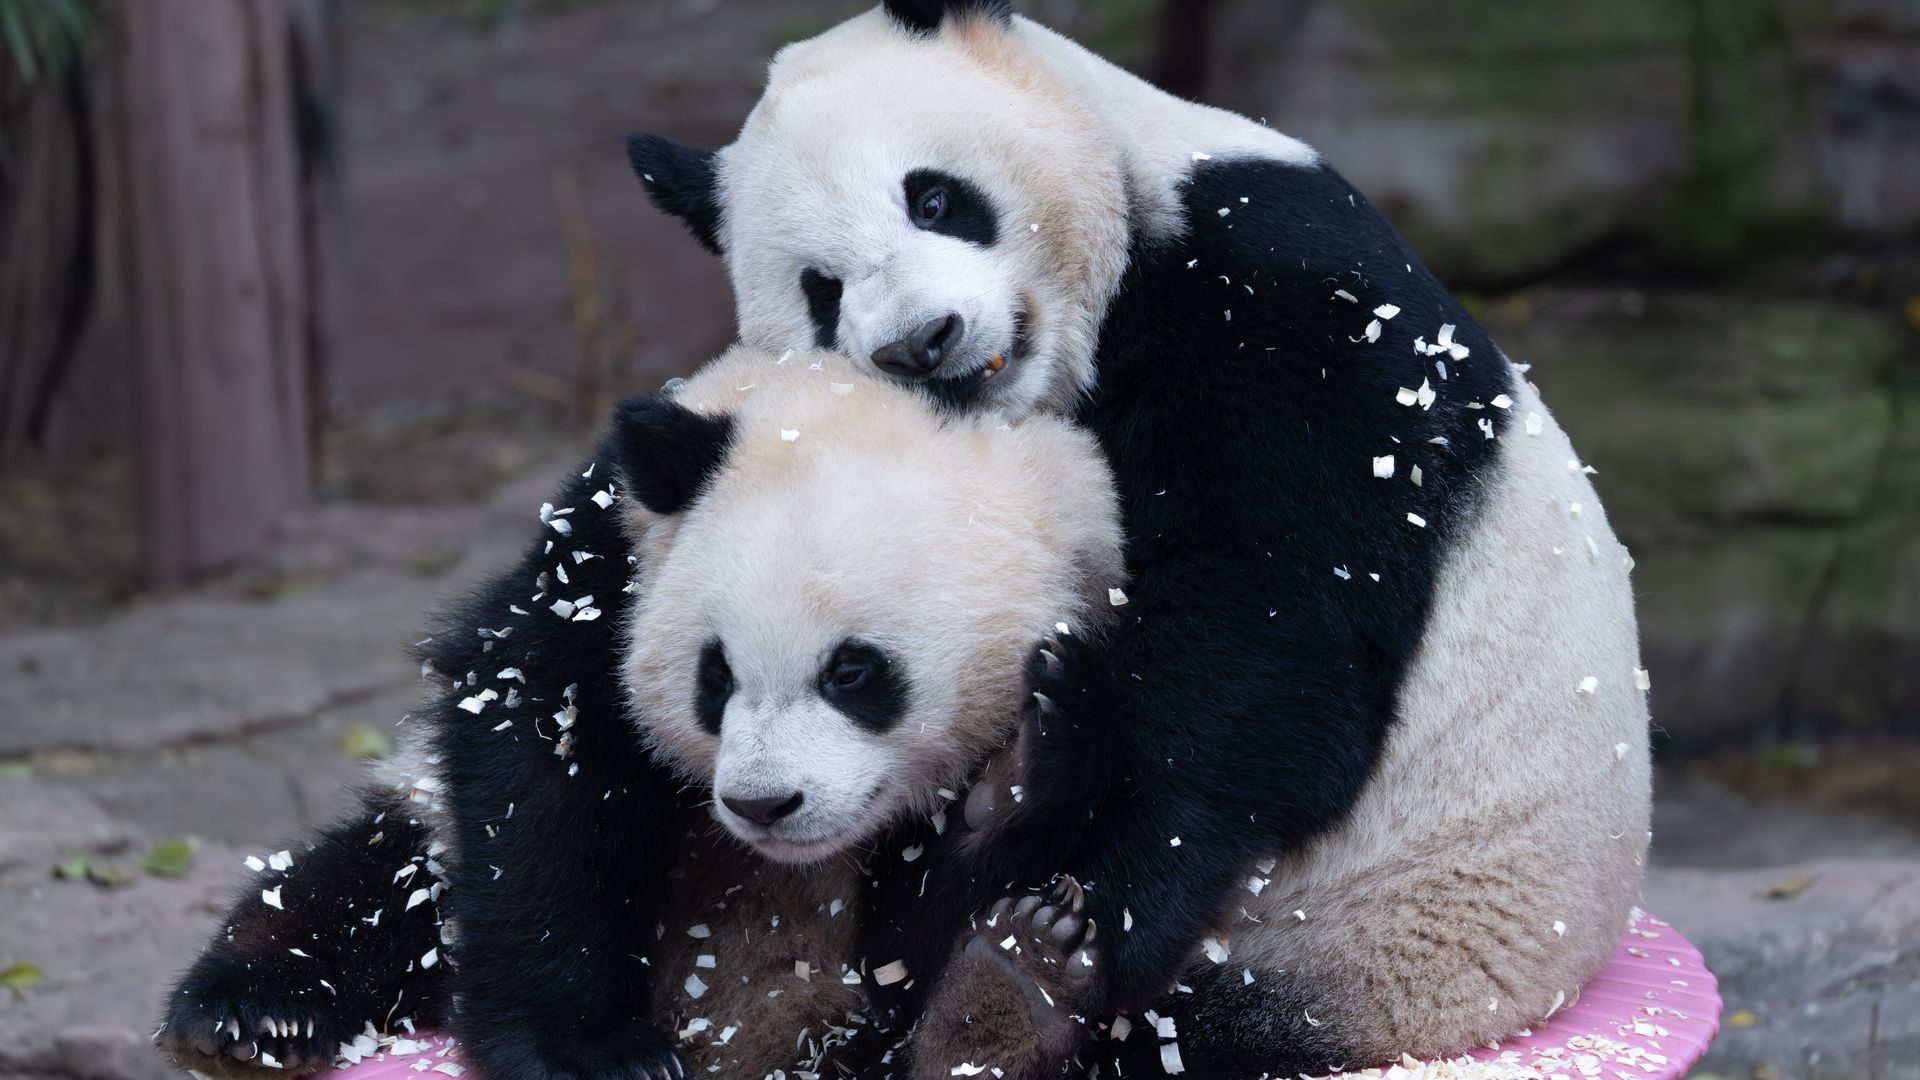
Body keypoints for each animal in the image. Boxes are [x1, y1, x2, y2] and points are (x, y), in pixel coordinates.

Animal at [155, 347, 1131, 1080]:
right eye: (715, 674)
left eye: (854, 672)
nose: (763, 804)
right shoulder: (606, 554)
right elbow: (542, 774)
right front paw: (588, 1052)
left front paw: (1021, 777)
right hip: (421, 842)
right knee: (364, 880)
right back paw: (248, 1013)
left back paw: (1011, 993)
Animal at [623, 0, 1655, 1075]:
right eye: (820, 289)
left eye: (935, 199)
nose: (922, 341)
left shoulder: (1291, 301)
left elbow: (1265, 637)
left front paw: (1105, 904)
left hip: (1378, 946)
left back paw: (1011, 990)